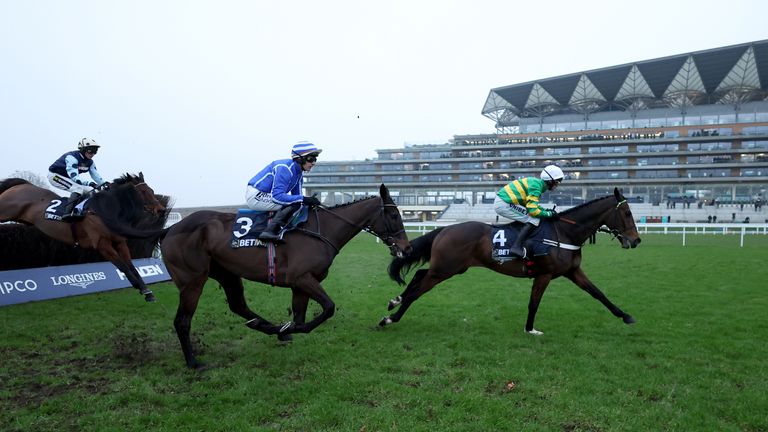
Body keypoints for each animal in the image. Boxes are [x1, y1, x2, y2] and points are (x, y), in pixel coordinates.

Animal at [0, 174, 167, 302]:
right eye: (143, 191)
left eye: (152, 190)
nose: (162, 210)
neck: (105, 210)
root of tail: (22, 185)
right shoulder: (102, 245)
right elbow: (122, 266)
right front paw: (139, 286)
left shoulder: (120, 243)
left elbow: (131, 266)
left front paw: (147, 291)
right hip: (5, 212)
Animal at [163, 182, 414, 368]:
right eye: (393, 214)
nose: (407, 248)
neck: (321, 231)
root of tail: (170, 229)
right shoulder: (302, 278)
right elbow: (326, 309)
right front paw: (286, 329)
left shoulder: (300, 285)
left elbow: (300, 318)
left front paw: (283, 330)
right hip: (192, 280)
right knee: (182, 321)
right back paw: (193, 362)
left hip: (227, 274)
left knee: (238, 306)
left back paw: (265, 326)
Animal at [384, 188, 640, 334]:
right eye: (627, 213)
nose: (636, 240)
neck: (565, 234)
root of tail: (444, 230)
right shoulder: (544, 274)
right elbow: (534, 303)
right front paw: (529, 328)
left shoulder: (573, 271)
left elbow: (598, 293)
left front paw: (626, 316)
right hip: (444, 269)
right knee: (418, 290)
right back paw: (390, 317)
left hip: (451, 268)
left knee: (419, 275)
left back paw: (395, 301)